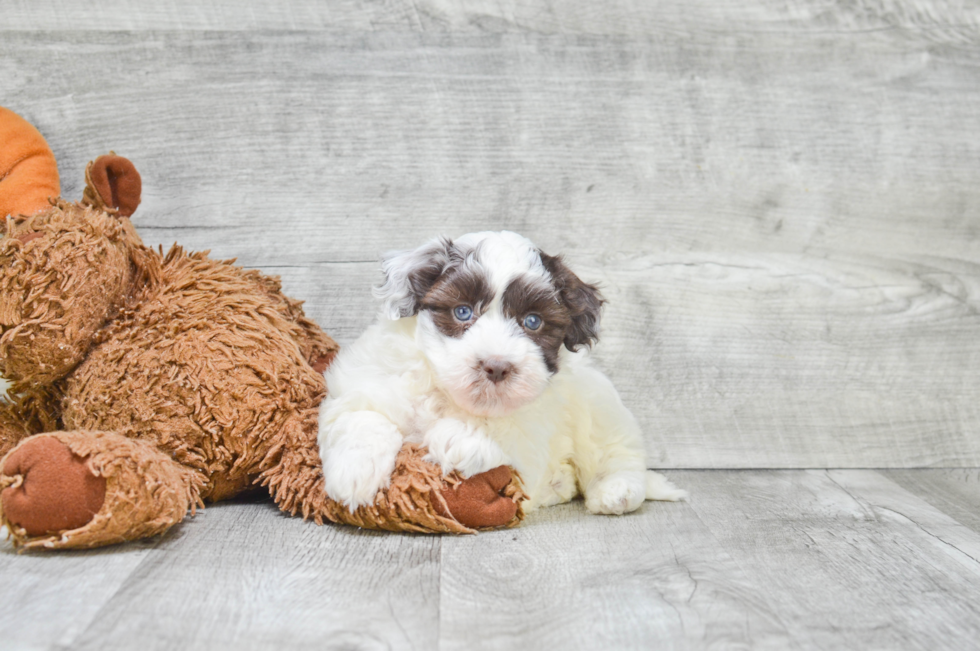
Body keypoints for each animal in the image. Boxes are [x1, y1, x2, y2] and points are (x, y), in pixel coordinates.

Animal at [318, 232, 684, 516]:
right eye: (462, 312)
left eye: (532, 321)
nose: (496, 366)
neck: (449, 396)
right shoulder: (365, 382)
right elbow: (362, 416)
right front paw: (354, 473)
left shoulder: (533, 438)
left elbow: (506, 429)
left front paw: (460, 436)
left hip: (598, 405)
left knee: (617, 451)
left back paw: (616, 490)